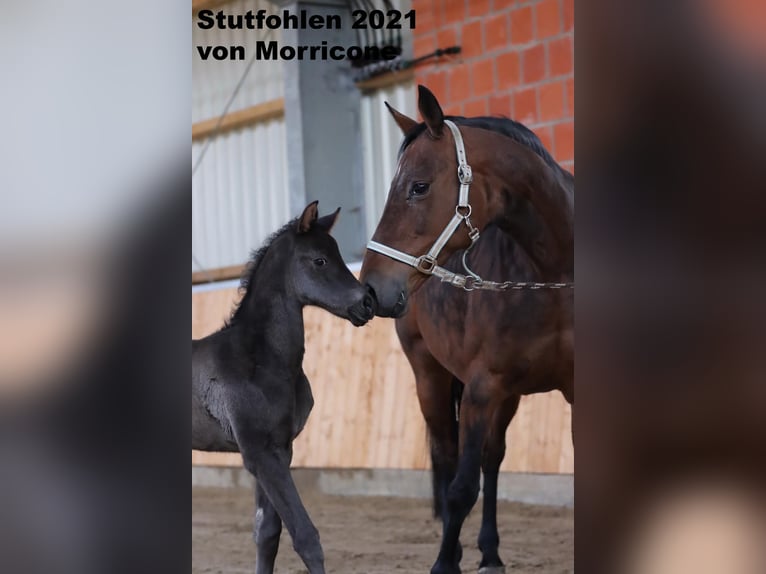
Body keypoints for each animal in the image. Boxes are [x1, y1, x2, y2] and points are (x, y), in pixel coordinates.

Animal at [194, 202, 376, 574]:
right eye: (319, 260)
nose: (367, 304)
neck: (262, 359)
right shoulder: (260, 455)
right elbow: (305, 536)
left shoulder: (281, 448)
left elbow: (267, 533)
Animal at [362, 86, 576, 574]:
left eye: (418, 186)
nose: (371, 287)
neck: (554, 279)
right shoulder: (481, 387)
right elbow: (460, 488)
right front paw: (445, 563)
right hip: (431, 376)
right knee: (447, 456)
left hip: (508, 394)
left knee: (492, 458)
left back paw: (491, 552)